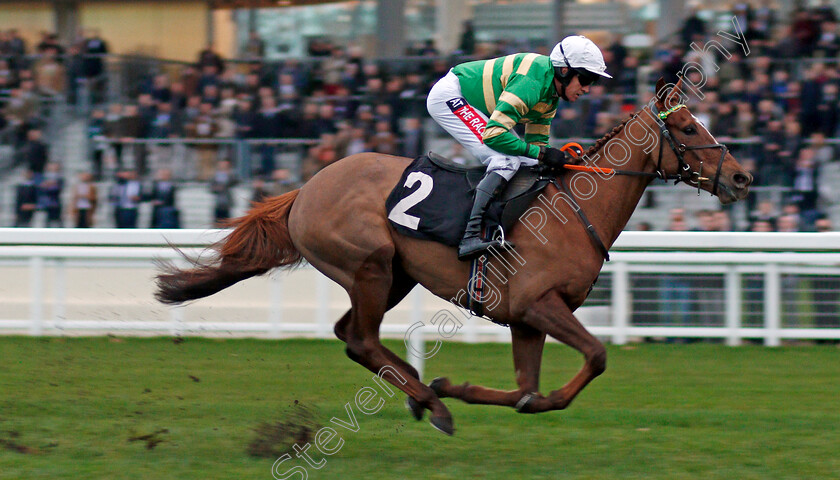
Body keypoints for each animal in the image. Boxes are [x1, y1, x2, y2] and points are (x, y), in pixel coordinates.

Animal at [154, 79, 752, 436]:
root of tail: (306, 188)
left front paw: (465, 388)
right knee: (361, 338)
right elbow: (597, 356)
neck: (575, 209)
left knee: (351, 335)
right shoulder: (540, 305)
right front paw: (449, 391)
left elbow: (527, 389)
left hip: (392, 276)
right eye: (687, 127)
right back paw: (429, 402)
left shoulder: (525, 318)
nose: (742, 177)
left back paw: (422, 394)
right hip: (370, 264)